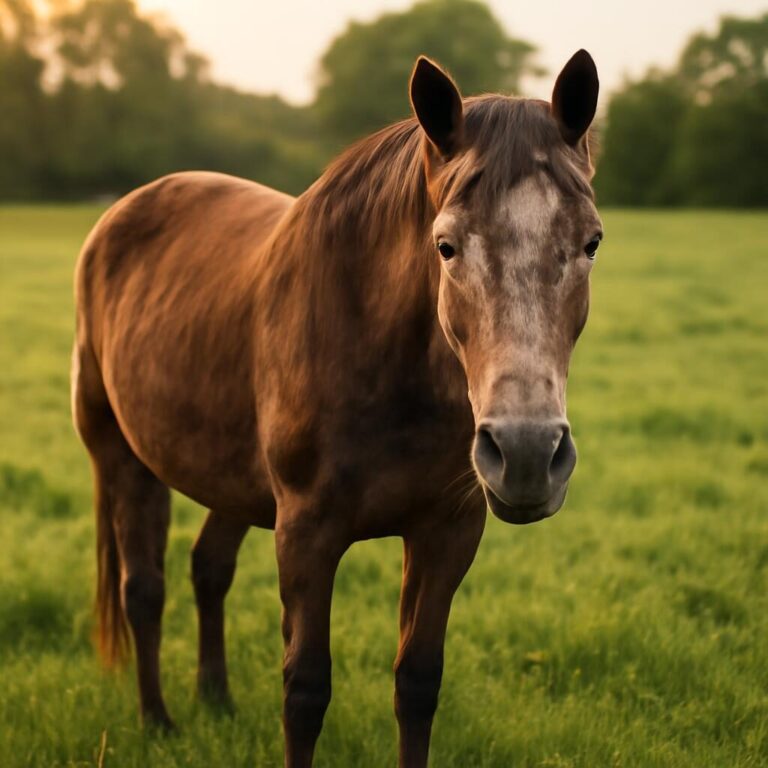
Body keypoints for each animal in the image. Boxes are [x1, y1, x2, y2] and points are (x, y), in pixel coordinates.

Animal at [71, 49, 602, 767]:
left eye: (591, 242)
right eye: (446, 246)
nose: (526, 454)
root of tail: (123, 210)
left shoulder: (447, 531)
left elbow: (418, 683)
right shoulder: (306, 534)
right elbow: (305, 692)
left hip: (227, 476)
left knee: (208, 569)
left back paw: (216, 700)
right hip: (122, 455)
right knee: (143, 590)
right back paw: (156, 720)